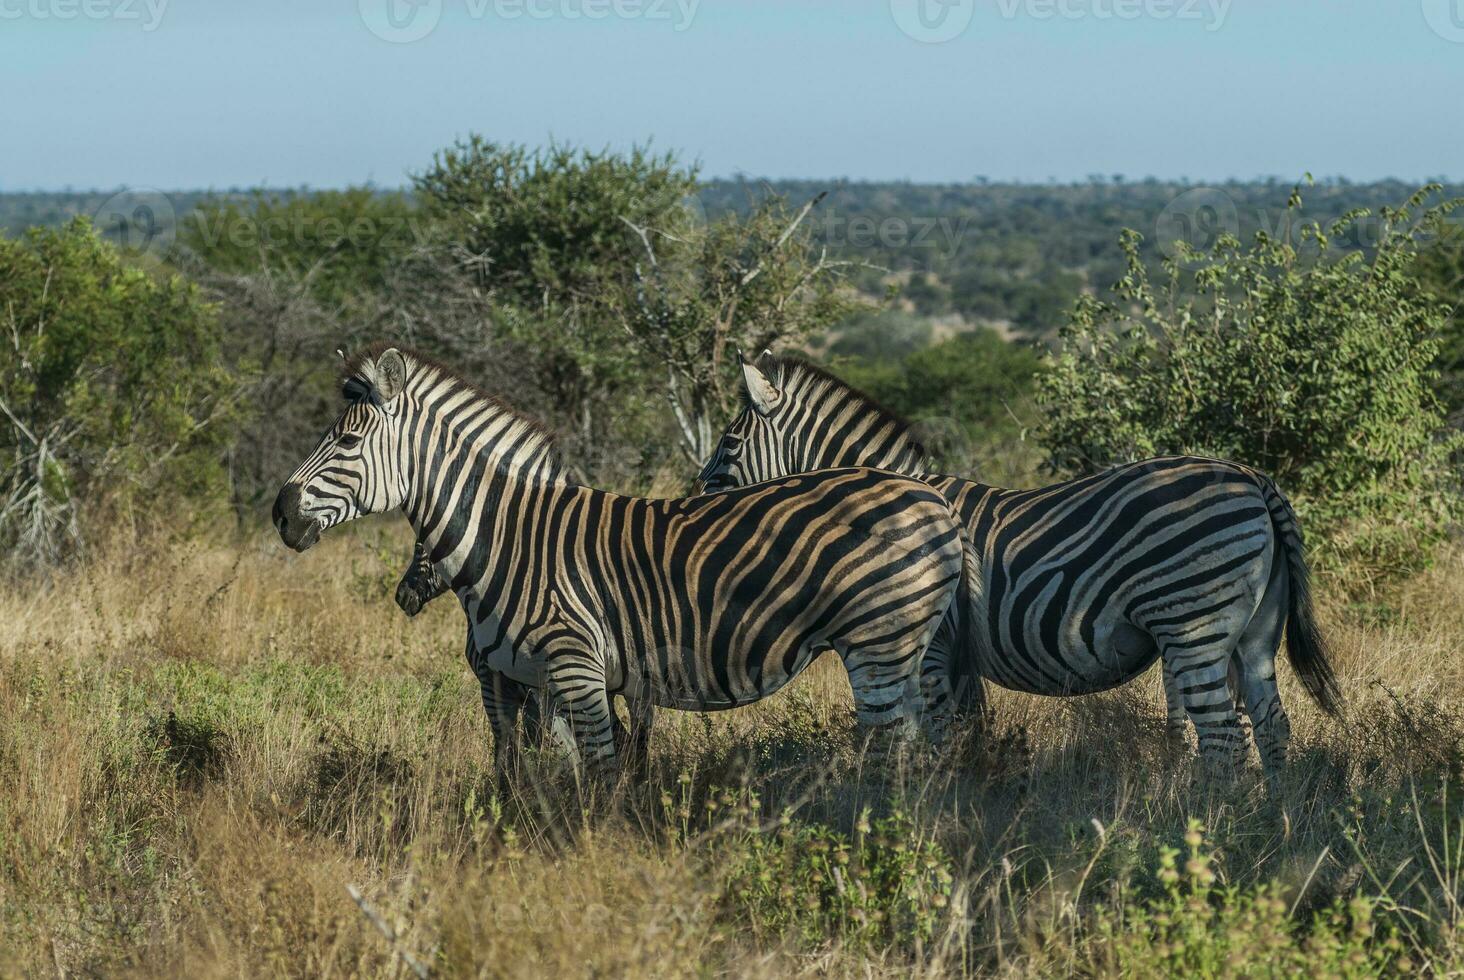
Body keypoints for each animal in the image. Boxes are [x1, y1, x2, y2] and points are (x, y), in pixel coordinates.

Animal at [275, 344, 972, 779]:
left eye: (348, 441)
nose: (280, 513)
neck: (510, 534)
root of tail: (932, 496)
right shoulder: (542, 684)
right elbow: (545, 777)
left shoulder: (575, 670)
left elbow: (599, 783)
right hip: (905, 651)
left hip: (879, 641)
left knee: (896, 761)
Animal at [691, 350, 1341, 773]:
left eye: (728, 444)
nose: (695, 498)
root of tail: (1254, 478)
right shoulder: (955, 655)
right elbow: (963, 734)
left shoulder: (932, 649)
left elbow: (938, 737)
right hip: (1253, 634)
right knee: (1272, 729)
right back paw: (1267, 831)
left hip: (1193, 622)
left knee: (1225, 739)